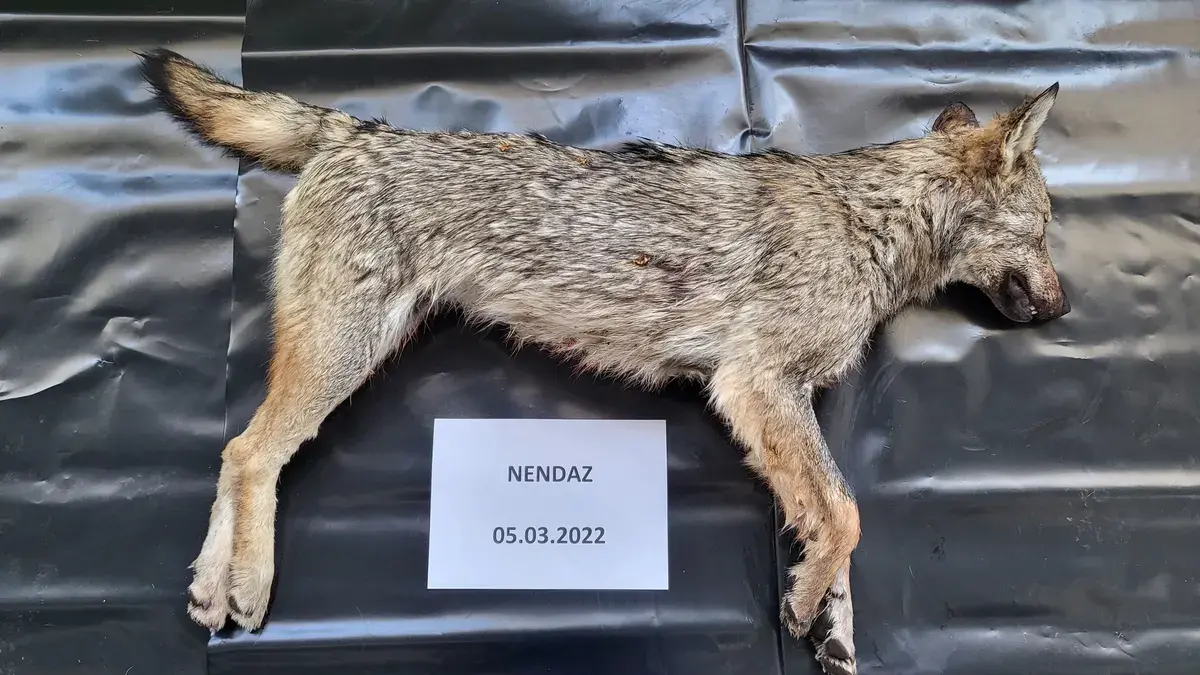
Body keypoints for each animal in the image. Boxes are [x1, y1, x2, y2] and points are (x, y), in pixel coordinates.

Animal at [137, 47, 1070, 675]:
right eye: (1047, 228)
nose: (1065, 308)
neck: (870, 222)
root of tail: (356, 128)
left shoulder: (789, 400)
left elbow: (829, 519)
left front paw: (829, 624)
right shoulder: (756, 384)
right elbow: (847, 516)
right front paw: (806, 604)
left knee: (235, 450)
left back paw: (209, 585)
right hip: (344, 353)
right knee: (253, 452)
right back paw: (247, 581)